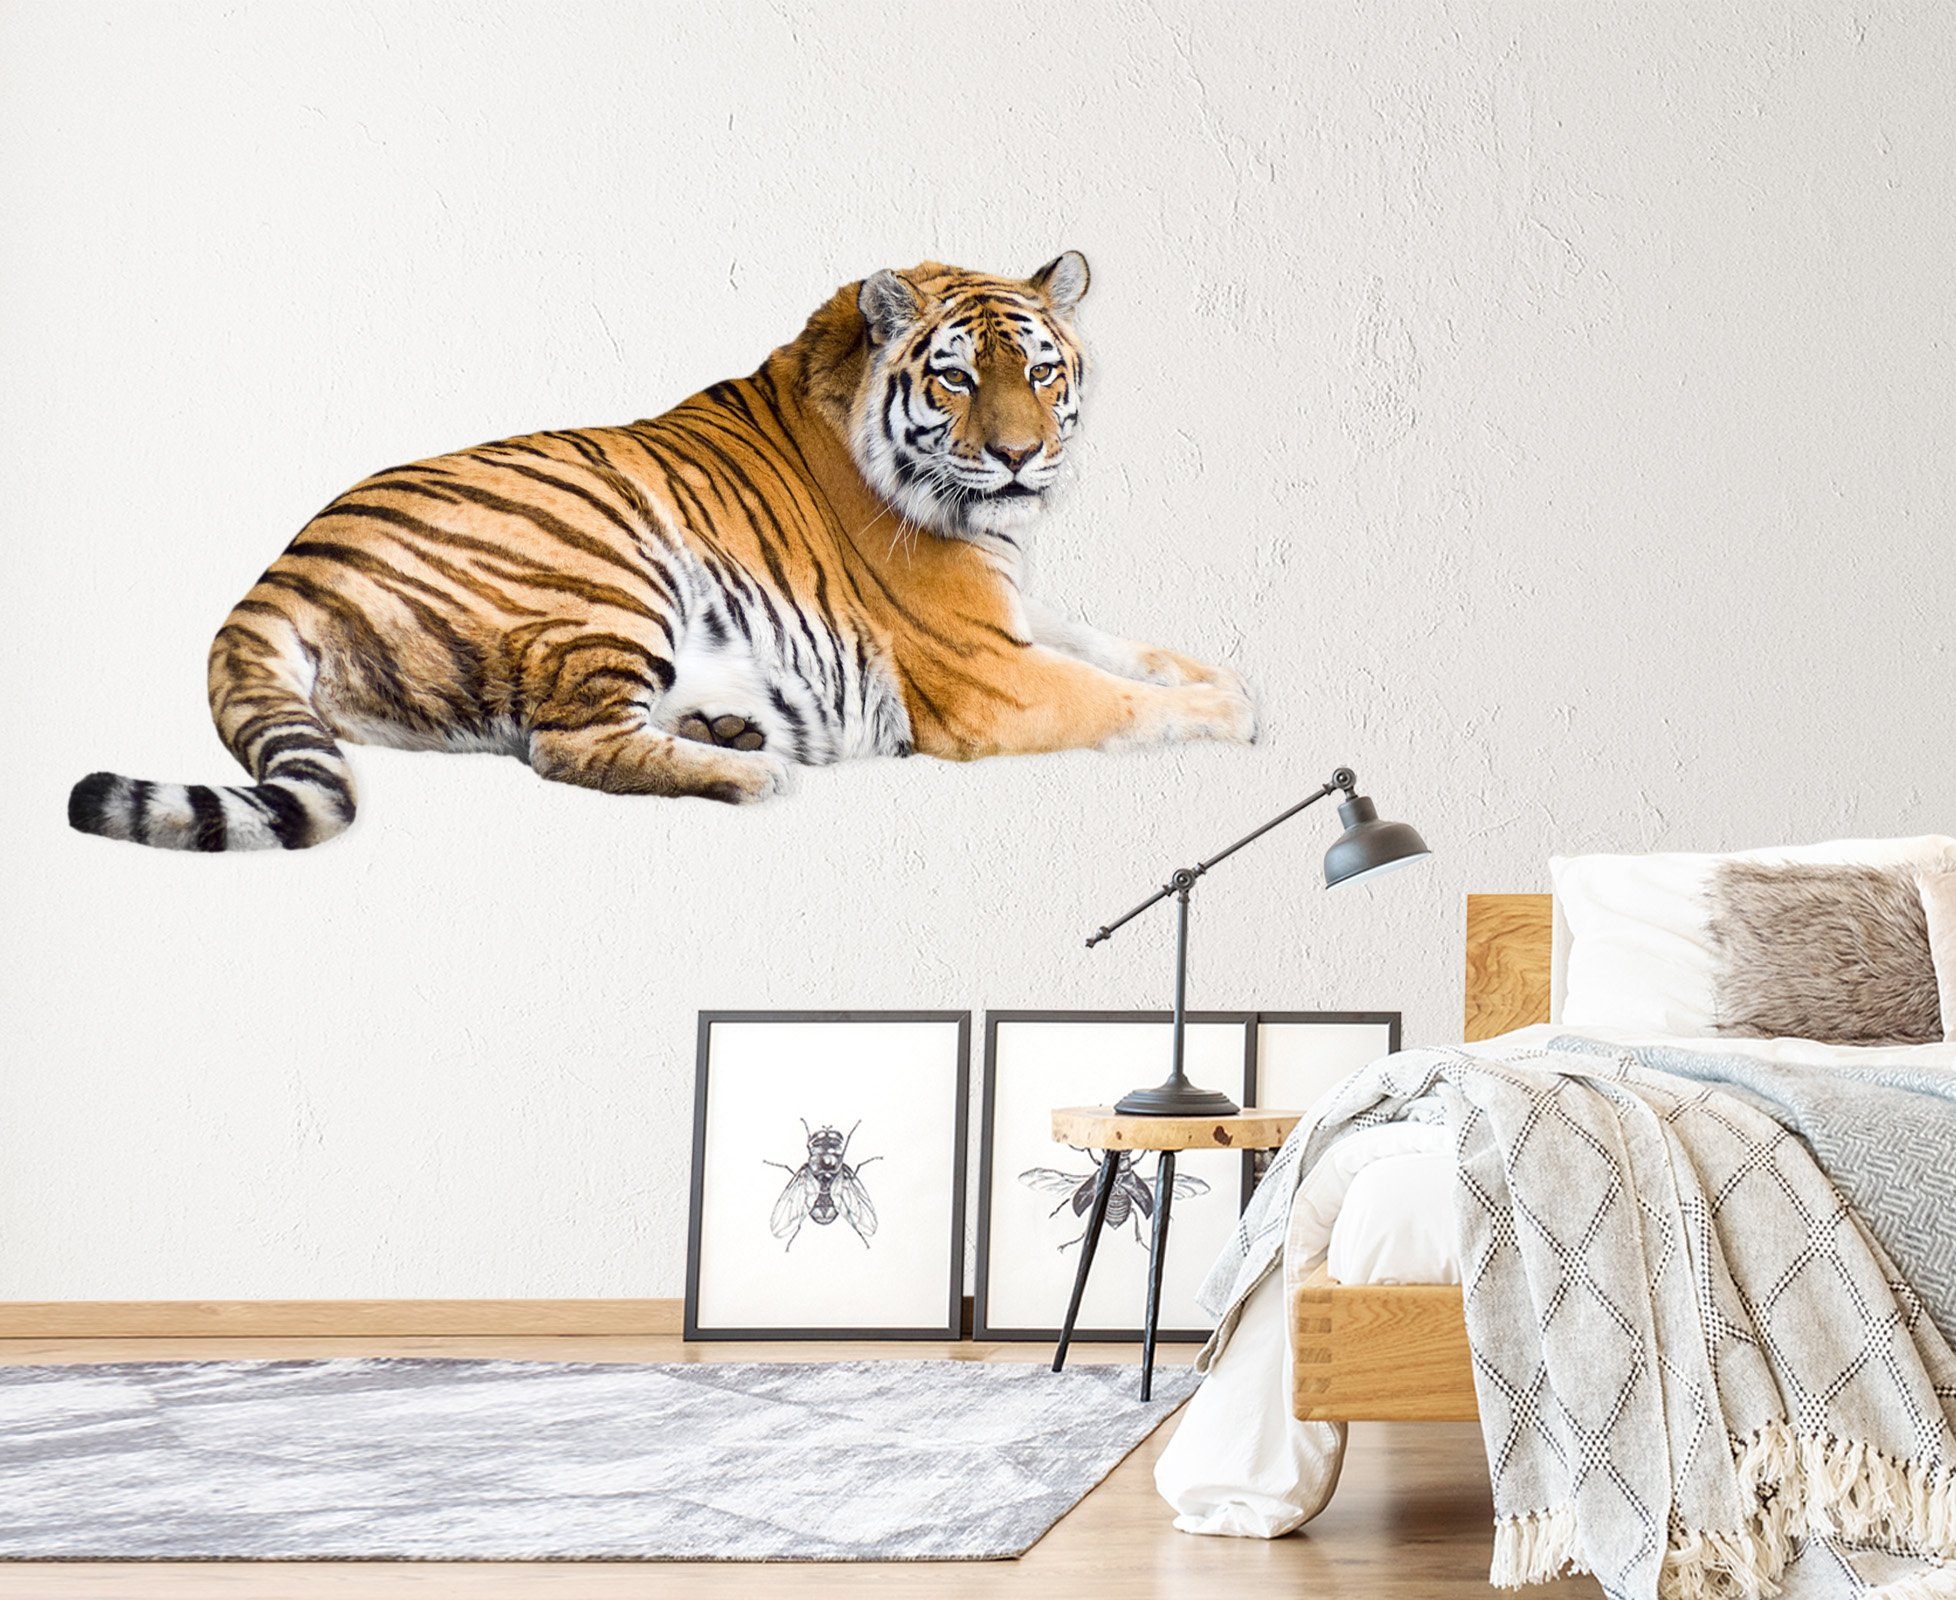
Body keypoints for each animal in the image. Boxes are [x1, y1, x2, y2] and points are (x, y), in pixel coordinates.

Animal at [68, 252, 1255, 852]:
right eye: (959, 377)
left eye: (1044, 370)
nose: (1020, 457)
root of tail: (279, 569)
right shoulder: (988, 673)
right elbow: (1123, 700)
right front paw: (1229, 716)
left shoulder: (1016, 613)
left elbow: (1127, 648)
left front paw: (1228, 678)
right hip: (610, 571)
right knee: (566, 747)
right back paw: (750, 768)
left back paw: (728, 725)